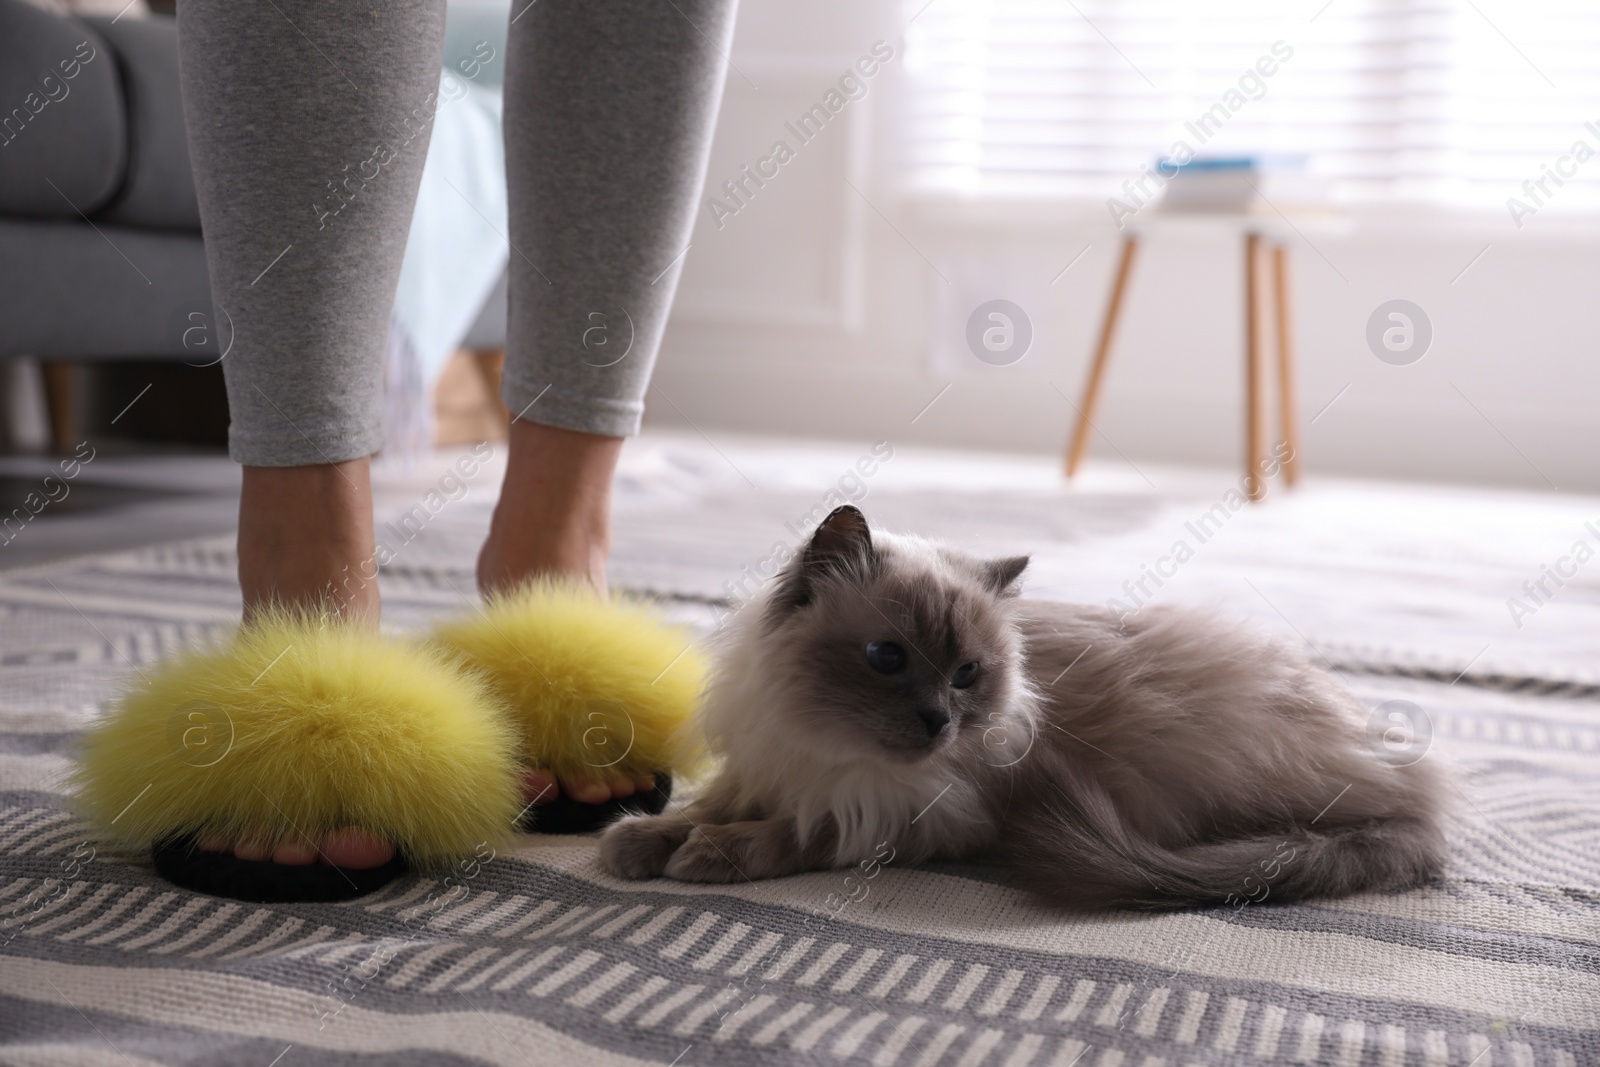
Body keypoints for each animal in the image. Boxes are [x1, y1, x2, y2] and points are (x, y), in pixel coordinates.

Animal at [601, 508, 1452, 908]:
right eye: (887, 658)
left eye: (967, 675)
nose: (939, 721)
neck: (824, 743)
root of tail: (1423, 794)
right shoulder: (770, 762)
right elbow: (701, 807)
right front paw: (637, 840)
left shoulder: (916, 812)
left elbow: (798, 830)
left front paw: (709, 854)